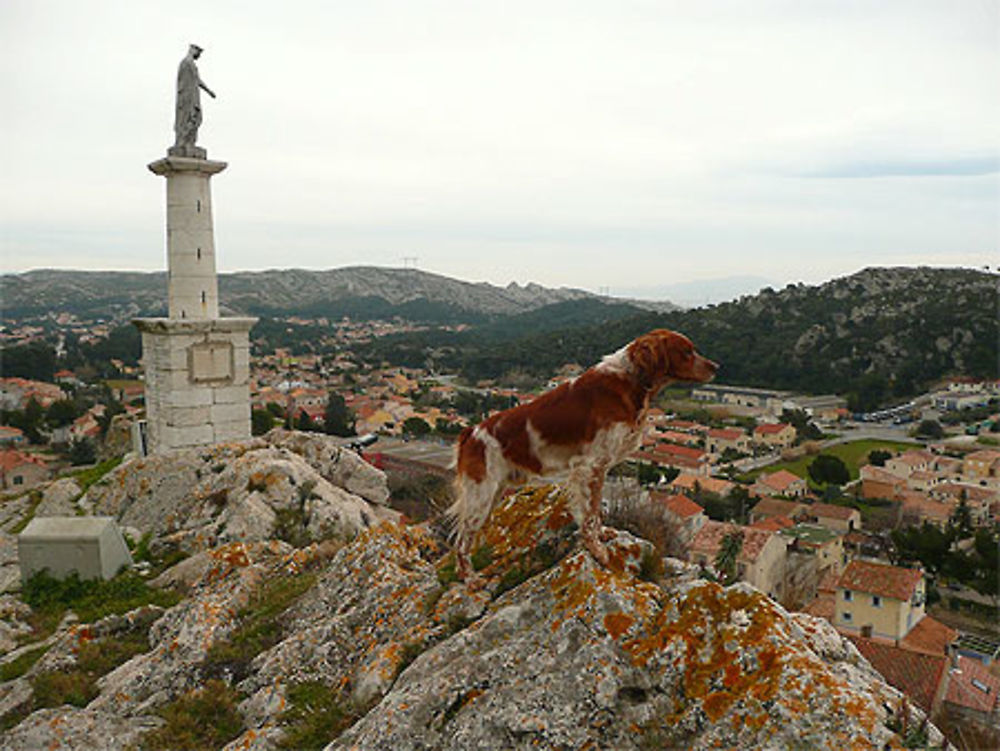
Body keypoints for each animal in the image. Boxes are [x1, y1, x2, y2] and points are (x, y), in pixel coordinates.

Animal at [450, 330, 716, 588]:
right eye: (687, 351)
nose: (716, 366)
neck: (630, 379)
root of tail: (470, 433)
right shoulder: (590, 466)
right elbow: (588, 516)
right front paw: (598, 551)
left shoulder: (599, 468)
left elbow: (596, 510)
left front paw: (603, 534)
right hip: (481, 496)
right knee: (462, 541)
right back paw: (471, 579)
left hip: (492, 494)